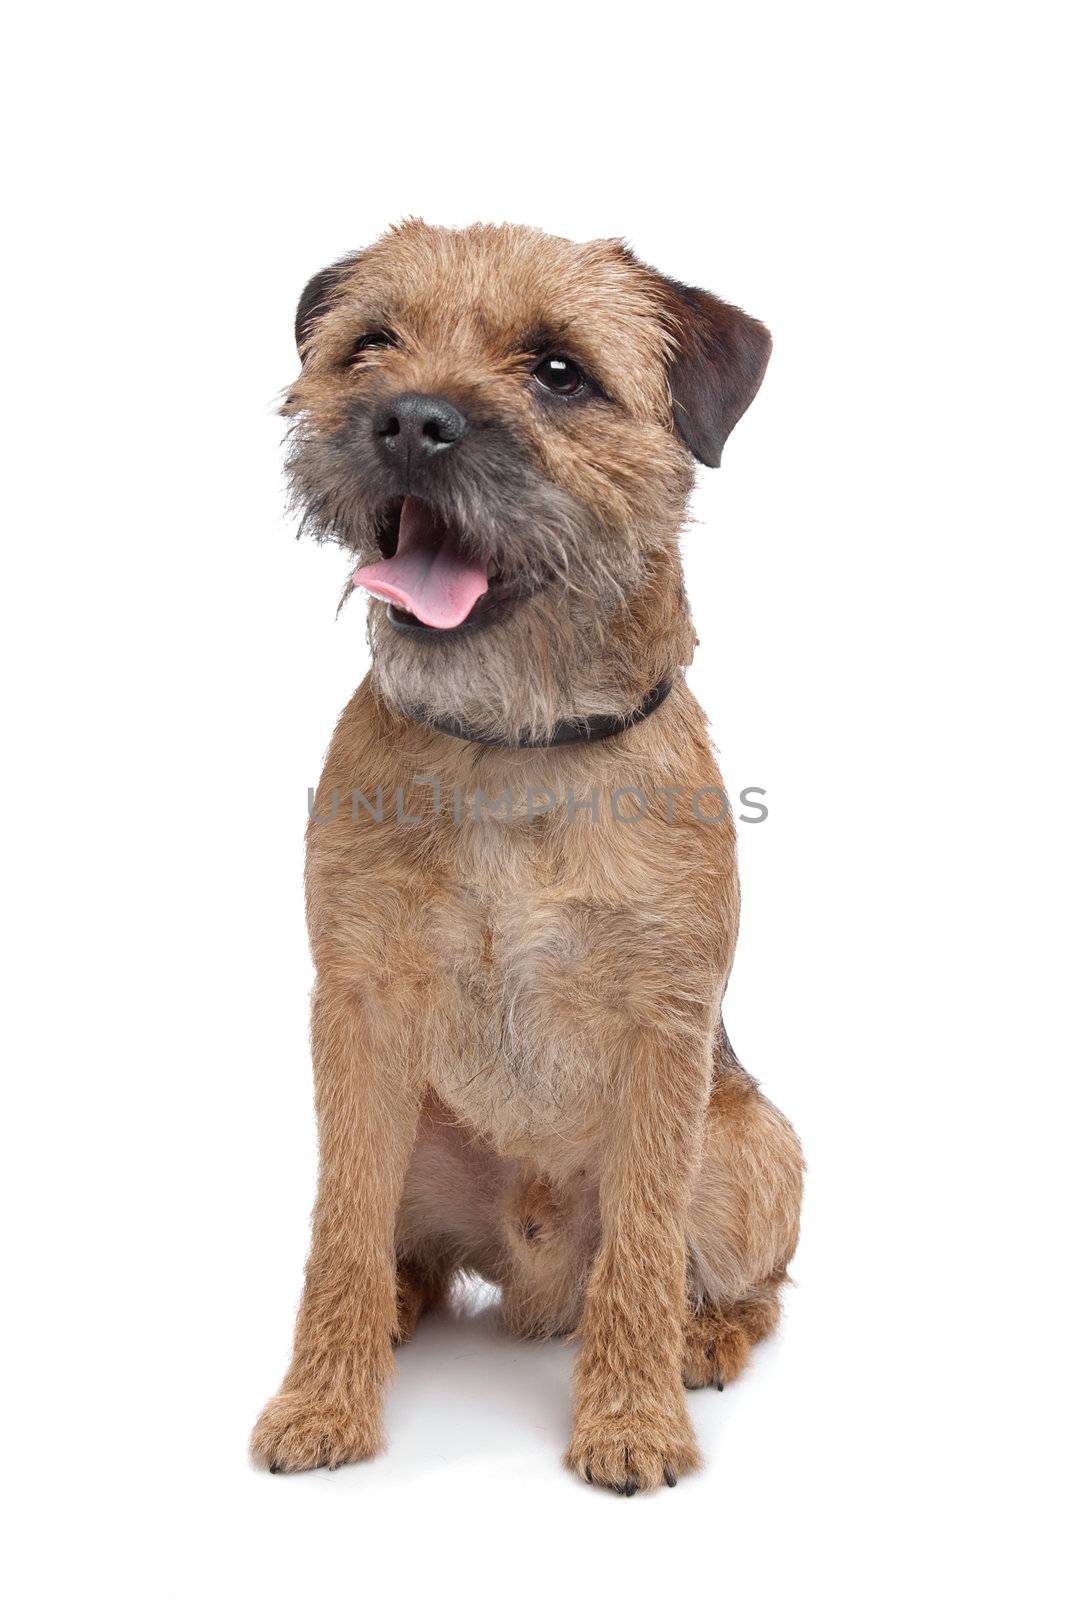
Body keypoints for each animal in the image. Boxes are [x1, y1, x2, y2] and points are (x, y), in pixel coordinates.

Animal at [251, 219, 799, 1491]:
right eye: (372, 344)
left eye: (558, 372)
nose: (409, 419)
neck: (509, 749)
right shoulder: (356, 1007)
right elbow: (338, 1230)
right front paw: (322, 1398)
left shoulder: (664, 1028)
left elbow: (643, 1242)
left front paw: (631, 1422)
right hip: (412, 1129)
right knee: (393, 1245)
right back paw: (398, 1315)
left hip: (752, 1142)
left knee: (740, 1280)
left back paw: (700, 1339)